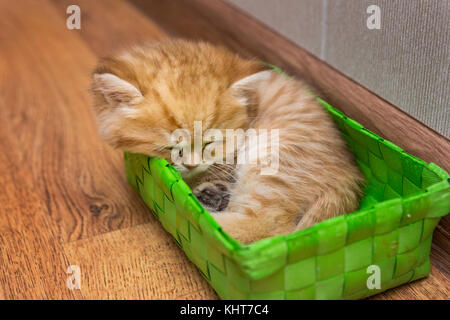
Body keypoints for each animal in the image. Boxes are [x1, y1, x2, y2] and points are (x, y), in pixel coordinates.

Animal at [91, 40, 366, 245]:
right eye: (171, 147)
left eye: (210, 143)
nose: (191, 165)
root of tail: (349, 175)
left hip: (272, 159)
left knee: (270, 226)